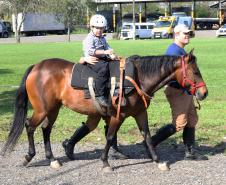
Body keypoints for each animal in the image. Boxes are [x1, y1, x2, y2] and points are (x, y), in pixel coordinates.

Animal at [0, 49, 207, 171]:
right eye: (196, 72)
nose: (204, 93)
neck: (137, 78)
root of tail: (37, 67)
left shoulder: (140, 113)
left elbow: (147, 135)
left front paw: (157, 160)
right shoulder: (118, 115)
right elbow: (109, 137)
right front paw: (105, 162)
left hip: (53, 109)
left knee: (46, 129)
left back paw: (52, 158)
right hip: (43, 109)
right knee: (29, 126)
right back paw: (29, 156)